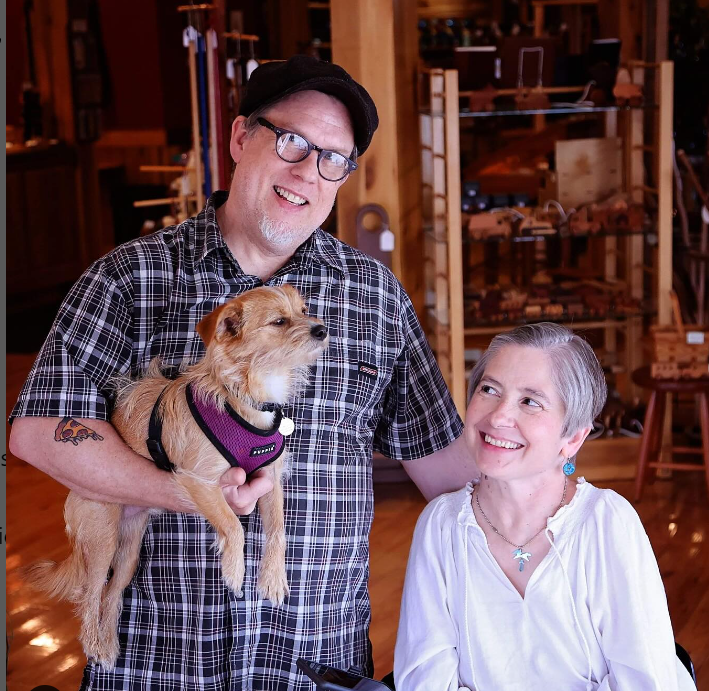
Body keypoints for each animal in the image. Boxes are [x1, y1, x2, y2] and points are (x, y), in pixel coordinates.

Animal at [24, 282, 330, 672]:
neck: (246, 393)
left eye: (304, 310)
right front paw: (234, 571)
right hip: (101, 539)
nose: (322, 329)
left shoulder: (269, 479)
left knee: (112, 594)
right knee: (90, 593)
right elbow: (232, 524)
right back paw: (95, 646)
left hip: (129, 553)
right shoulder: (200, 481)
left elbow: (277, 529)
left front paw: (273, 578)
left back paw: (108, 644)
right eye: (279, 321)